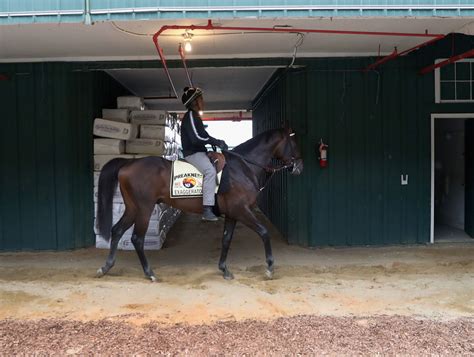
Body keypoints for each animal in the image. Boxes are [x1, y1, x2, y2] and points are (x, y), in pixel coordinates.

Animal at [96, 126, 304, 280]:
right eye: (293, 143)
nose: (299, 167)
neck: (243, 167)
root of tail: (128, 164)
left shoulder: (232, 213)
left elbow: (226, 239)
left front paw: (224, 269)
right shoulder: (241, 210)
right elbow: (264, 232)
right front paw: (269, 267)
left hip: (132, 208)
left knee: (117, 230)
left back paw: (106, 267)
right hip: (144, 209)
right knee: (137, 239)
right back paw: (149, 273)